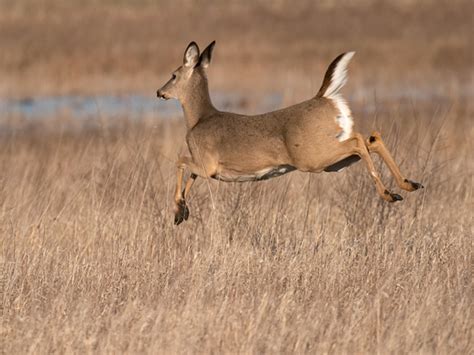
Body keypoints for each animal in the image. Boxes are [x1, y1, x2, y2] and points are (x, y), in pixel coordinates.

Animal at [157, 41, 424, 225]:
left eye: (173, 75)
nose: (160, 92)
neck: (198, 120)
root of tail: (324, 97)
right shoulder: (203, 165)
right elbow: (190, 176)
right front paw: (182, 212)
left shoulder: (208, 164)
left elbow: (180, 161)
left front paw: (179, 208)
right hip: (332, 160)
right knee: (372, 137)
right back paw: (409, 185)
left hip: (313, 157)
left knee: (359, 140)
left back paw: (389, 194)